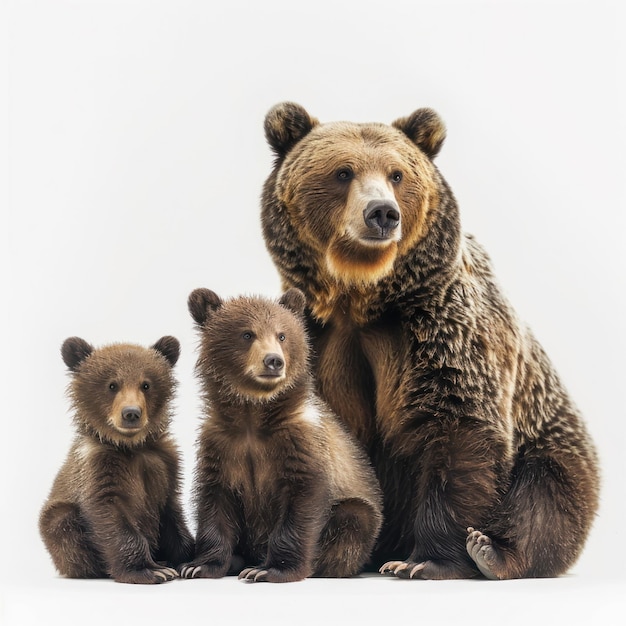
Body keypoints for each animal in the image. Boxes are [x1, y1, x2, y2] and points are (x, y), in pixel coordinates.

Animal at [258, 101, 596, 576]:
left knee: (544, 496)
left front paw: (425, 562)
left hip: (550, 439)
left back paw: (492, 552)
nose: (382, 212)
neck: (360, 298)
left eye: (397, 174)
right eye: (343, 172)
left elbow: (458, 425)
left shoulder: (440, 327)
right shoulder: (318, 337)